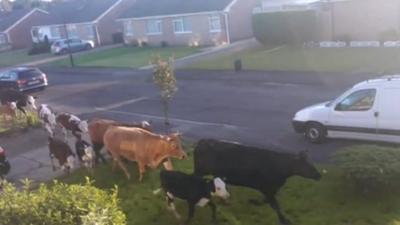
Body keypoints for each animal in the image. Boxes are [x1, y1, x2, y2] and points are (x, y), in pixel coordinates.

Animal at [192, 139, 320, 225]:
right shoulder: (267, 187)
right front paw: (284, 220)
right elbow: (275, 205)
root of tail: (200, 142)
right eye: (308, 165)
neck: (283, 170)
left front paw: (254, 202)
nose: (319, 175)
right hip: (200, 170)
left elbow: (268, 202)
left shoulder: (270, 189)